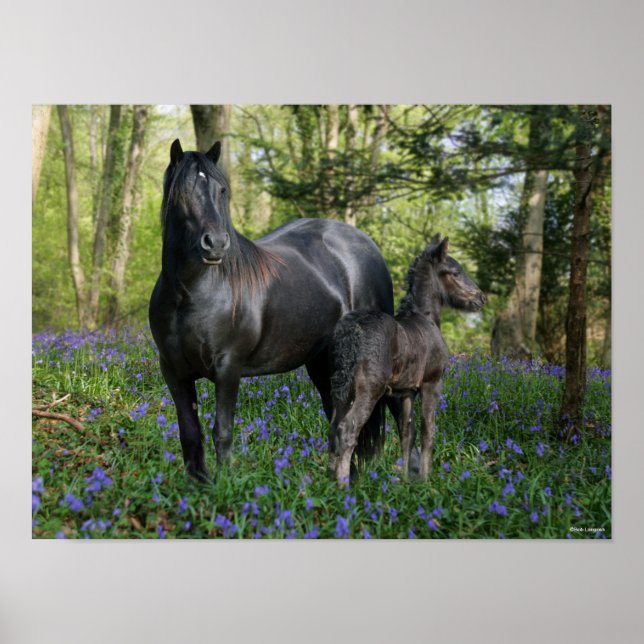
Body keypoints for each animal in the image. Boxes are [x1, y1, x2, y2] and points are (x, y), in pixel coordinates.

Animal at [148, 139, 394, 481]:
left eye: (221, 190)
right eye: (184, 190)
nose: (216, 243)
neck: (192, 294)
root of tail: (365, 245)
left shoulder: (228, 368)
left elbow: (222, 431)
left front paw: (224, 486)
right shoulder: (173, 370)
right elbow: (190, 434)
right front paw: (199, 486)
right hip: (322, 361)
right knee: (338, 418)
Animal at [328, 234, 486, 484]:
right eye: (455, 272)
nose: (481, 297)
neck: (426, 318)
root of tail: (351, 333)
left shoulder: (406, 391)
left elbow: (406, 432)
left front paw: (405, 480)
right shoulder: (432, 382)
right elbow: (427, 431)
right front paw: (426, 479)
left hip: (339, 389)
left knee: (333, 429)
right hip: (369, 389)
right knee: (347, 429)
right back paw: (343, 485)